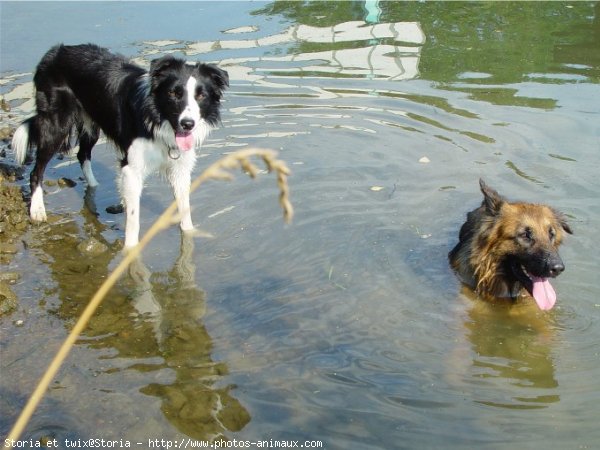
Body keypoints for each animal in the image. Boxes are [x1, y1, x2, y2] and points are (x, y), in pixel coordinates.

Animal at [14, 44, 230, 250]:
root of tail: (54, 52)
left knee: (83, 154)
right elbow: (133, 219)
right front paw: (131, 251)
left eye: (201, 96)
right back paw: (37, 210)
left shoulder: (180, 168)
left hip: (92, 124)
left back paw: (95, 186)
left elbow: (184, 210)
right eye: (174, 93)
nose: (187, 124)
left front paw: (191, 236)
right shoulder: (132, 169)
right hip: (56, 124)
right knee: (36, 171)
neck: (158, 120)